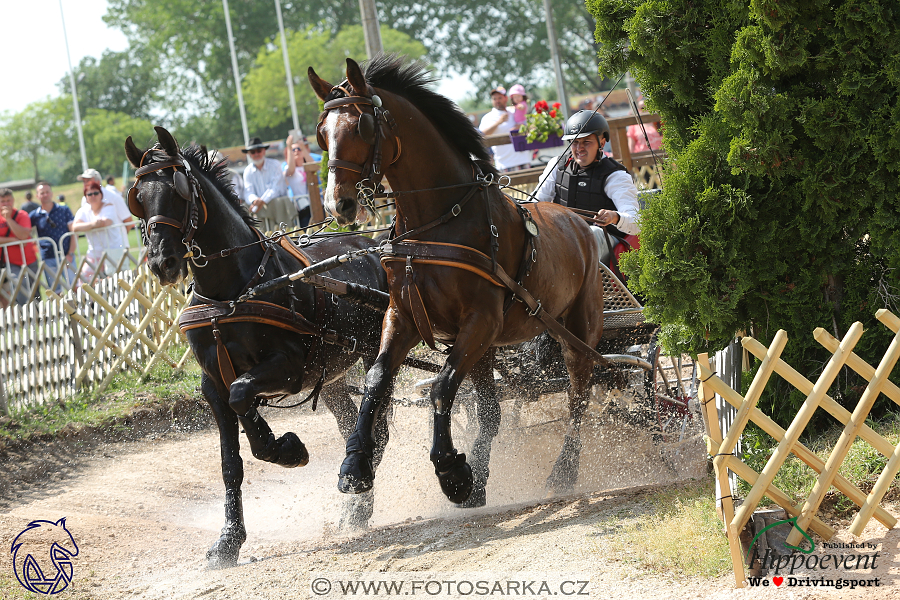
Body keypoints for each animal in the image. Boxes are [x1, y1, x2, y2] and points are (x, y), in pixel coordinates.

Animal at [125, 126, 392, 568]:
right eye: (139, 198)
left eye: (179, 191)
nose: (162, 262)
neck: (231, 291)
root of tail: (372, 246)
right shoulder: (212, 384)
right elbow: (230, 461)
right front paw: (228, 542)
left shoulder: (288, 366)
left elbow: (242, 394)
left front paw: (284, 448)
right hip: (330, 376)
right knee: (350, 424)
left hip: (375, 351)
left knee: (379, 429)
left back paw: (358, 496)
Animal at [306, 55, 608, 506]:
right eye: (322, 134)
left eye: (362, 126)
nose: (337, 204)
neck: (439, 222)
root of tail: (579, 222)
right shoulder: (404, 316)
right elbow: (379, 379)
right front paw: (355, 465)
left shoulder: (481, 321)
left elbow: (442, 386)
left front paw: (451, 471)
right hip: (486, 349)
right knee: (492, 411)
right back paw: (483, 476)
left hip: (576, 332)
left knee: (579, 396)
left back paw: (564, 471)